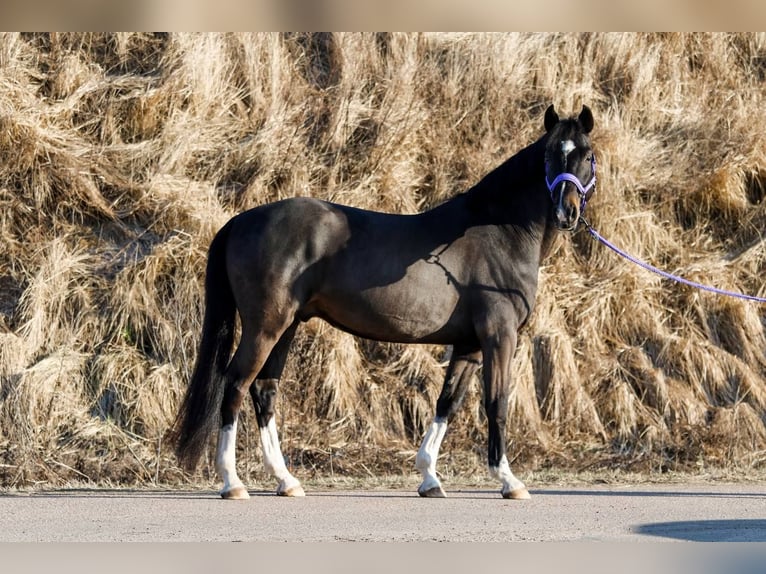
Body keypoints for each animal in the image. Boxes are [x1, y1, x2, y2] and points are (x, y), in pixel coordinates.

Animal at [170, 106, 600, 502]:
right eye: (549, 156)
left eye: (586, 154)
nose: (566, 212)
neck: (499, 231)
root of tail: (239, 221)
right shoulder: (499, 337)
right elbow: (497, 403)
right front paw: (509, 481)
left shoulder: (469, 345)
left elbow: (447, 402)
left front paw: (429, 478)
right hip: (265, 326)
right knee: (236, 385)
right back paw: (232, 482)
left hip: (287, 326)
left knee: (264, 390)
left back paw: (286, 480)